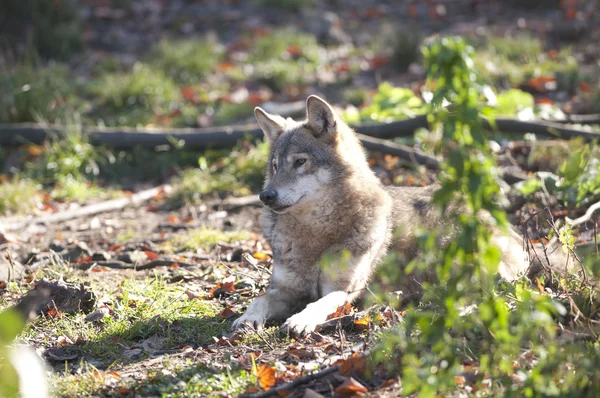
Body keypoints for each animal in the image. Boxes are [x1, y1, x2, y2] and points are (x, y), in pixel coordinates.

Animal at [232, 95, 568, 334]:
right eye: (275, 166)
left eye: (300, 162)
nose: (266, 196)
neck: (316, 234)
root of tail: (515, 235)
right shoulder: (285, 289)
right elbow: (260, 299)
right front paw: (247, 318)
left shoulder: (343, 289)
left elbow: (320, 302)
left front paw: (301, 320)